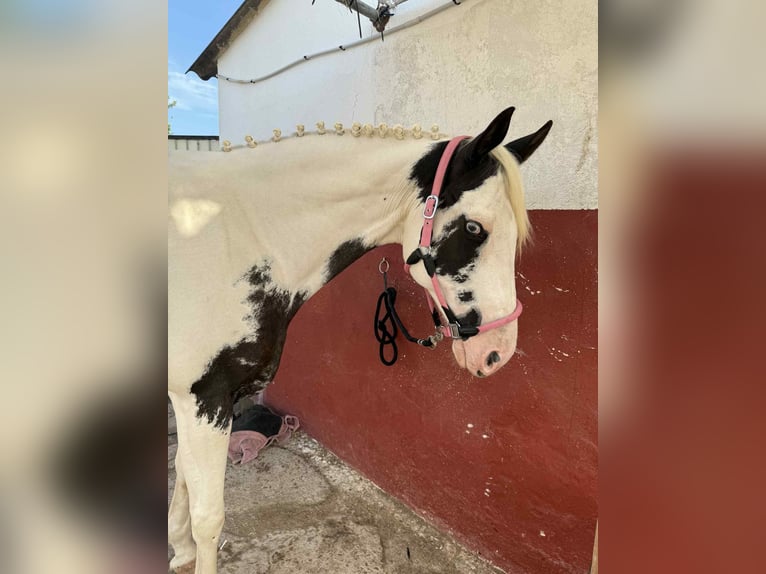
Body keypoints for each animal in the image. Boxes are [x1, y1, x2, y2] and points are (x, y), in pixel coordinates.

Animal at [168, 107, 552, 574]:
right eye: (475, 227)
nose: (497, 352)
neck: (233, 236)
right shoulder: (203, 399)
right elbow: (208, 517)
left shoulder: (195, 402)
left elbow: (181, 480)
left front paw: (179, 552)